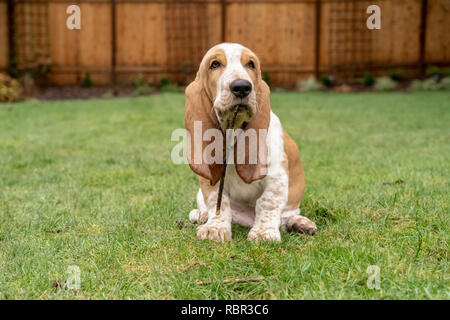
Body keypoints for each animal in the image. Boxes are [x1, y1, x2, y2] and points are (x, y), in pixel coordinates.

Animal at [185, 43, 318, 242]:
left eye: (251, 64)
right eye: (214, 64)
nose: (241, 87)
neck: (234, 130)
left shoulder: (276, 175)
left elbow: (267, 202)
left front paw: (264, 233)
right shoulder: (211, 181)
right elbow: (218, 203)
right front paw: (215, 228)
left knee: (286, 216)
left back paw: (299, 223)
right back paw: (201, 215)